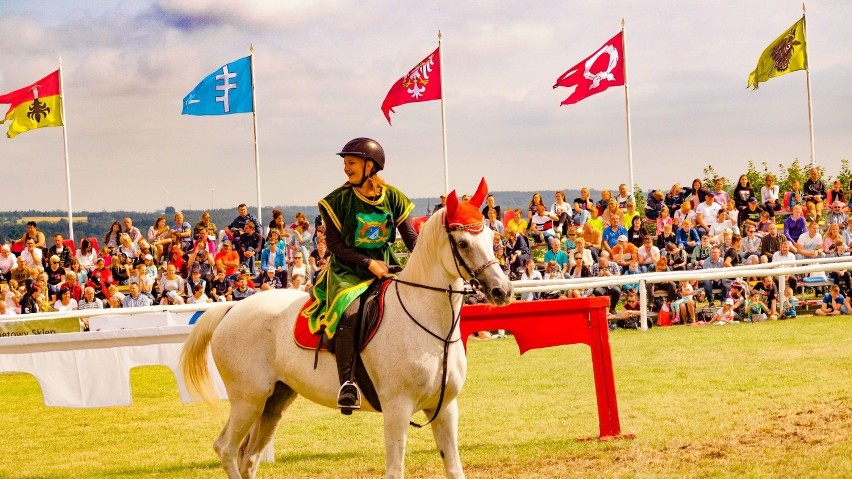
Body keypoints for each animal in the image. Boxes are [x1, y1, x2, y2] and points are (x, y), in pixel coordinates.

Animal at [181, 181, 510, 479]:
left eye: (491, 236)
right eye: (463, 243)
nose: (502, 290)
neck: (428, 325)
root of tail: (231, 310)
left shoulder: (445, 409)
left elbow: (454, 469)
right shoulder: (397, 409)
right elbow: (395, 471)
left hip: (273, 402)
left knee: (248, 458)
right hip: (248, 400)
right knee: (225, 449)